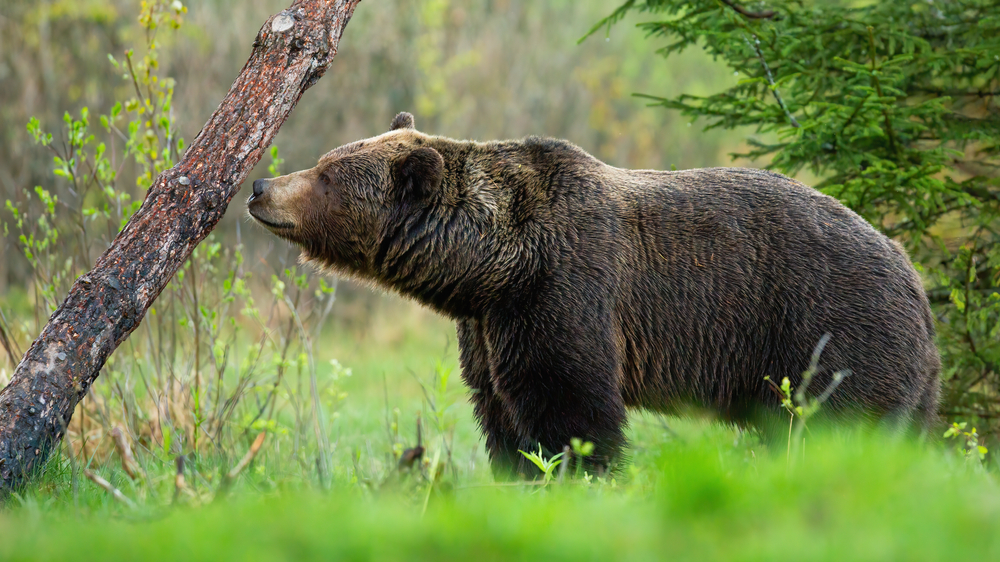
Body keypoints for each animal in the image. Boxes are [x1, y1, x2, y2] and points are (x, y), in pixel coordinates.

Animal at [246, 110, 940, 476]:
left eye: (328, 175)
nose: (260, 185)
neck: (494, 265)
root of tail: (915, 277)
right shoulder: (489, 327)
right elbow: (500, 413)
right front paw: (517, 473)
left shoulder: (564, 292)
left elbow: (571, 408)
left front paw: (579, 472)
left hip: (830, 329)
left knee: (844, 427)